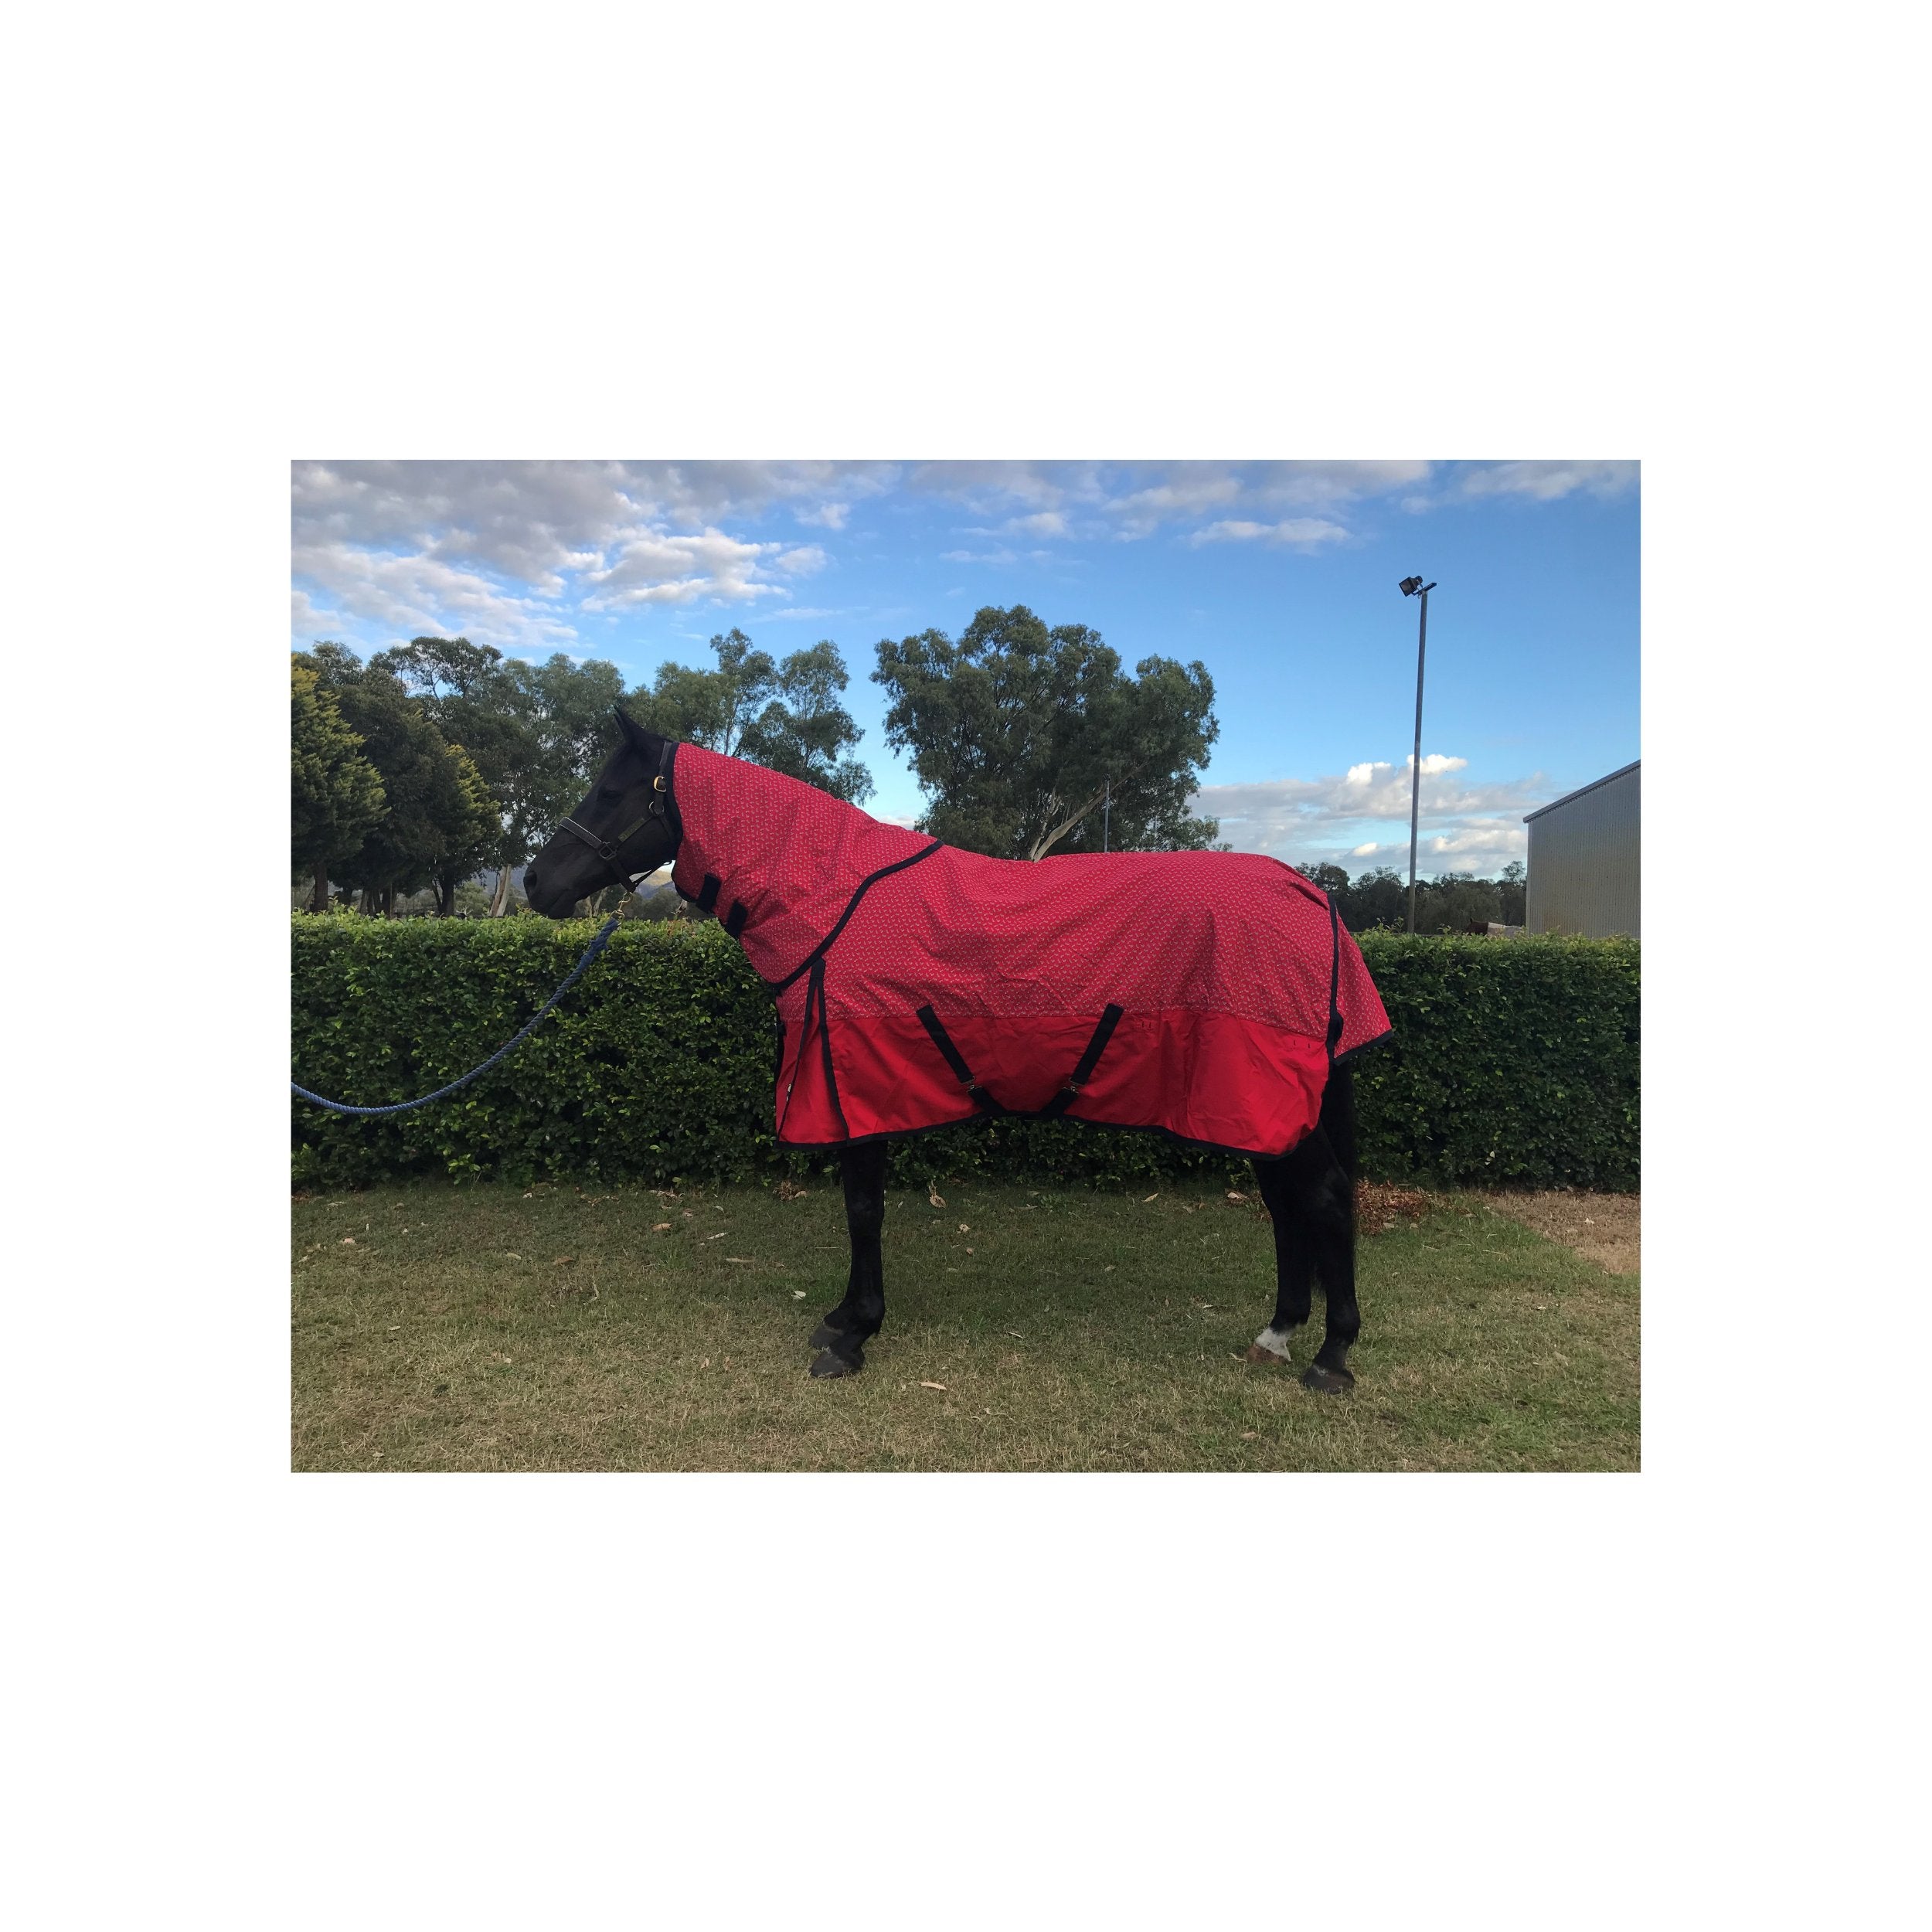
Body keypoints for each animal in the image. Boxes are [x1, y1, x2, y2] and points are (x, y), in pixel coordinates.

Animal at [523, 709, 1390, 1392]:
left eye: (610, 792)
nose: (534, 883)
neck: (827, 900)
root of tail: (1310, 895)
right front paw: (842, 1317)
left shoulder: (854, 1088)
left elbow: (863, 1211)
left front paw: (853, 1335)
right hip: (1260, 1107)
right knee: (1285, 1203)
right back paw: (1278, 1333)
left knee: (1323, 1198)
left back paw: (1332, 1356)